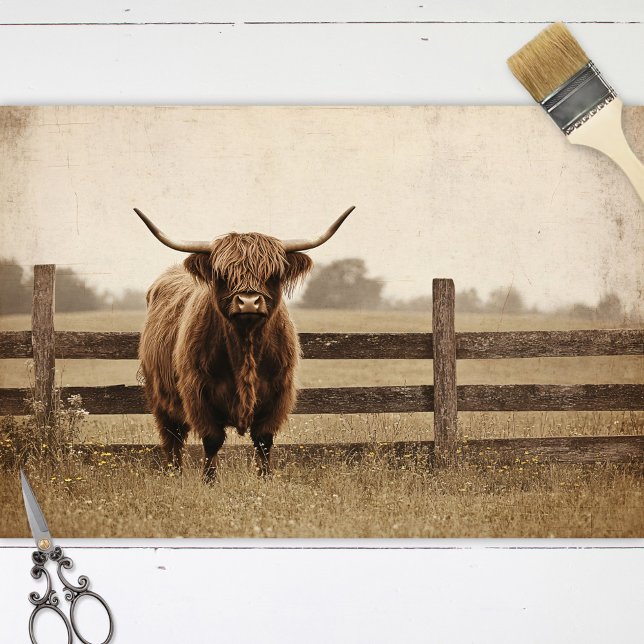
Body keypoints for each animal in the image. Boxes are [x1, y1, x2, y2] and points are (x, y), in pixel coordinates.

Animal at [135, 206, 354, 481]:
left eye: (272, 274)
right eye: (223, 274)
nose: (248, 302)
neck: (246, 345)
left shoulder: (277, 392)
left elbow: (263, 440)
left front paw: (265, 478)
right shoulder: (198, 393)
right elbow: (212, 441)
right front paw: (209, 481)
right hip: (160, 397)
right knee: (172, 439)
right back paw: (174, 475)